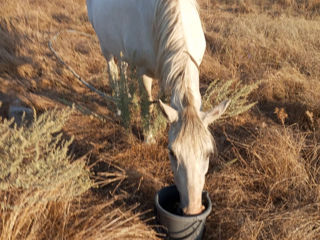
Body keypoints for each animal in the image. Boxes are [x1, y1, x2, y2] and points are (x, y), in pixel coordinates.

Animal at [86, 0, 229, 215]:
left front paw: (159, 126)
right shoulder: (143, 71)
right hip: (105, 47)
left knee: (123, 68)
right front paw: (149, 138)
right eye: (172, 153)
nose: (193, 209)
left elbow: (162, 102)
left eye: (208, 153)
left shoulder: (166, 69)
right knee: (113, 71)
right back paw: (120, 109)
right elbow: (148, 105)